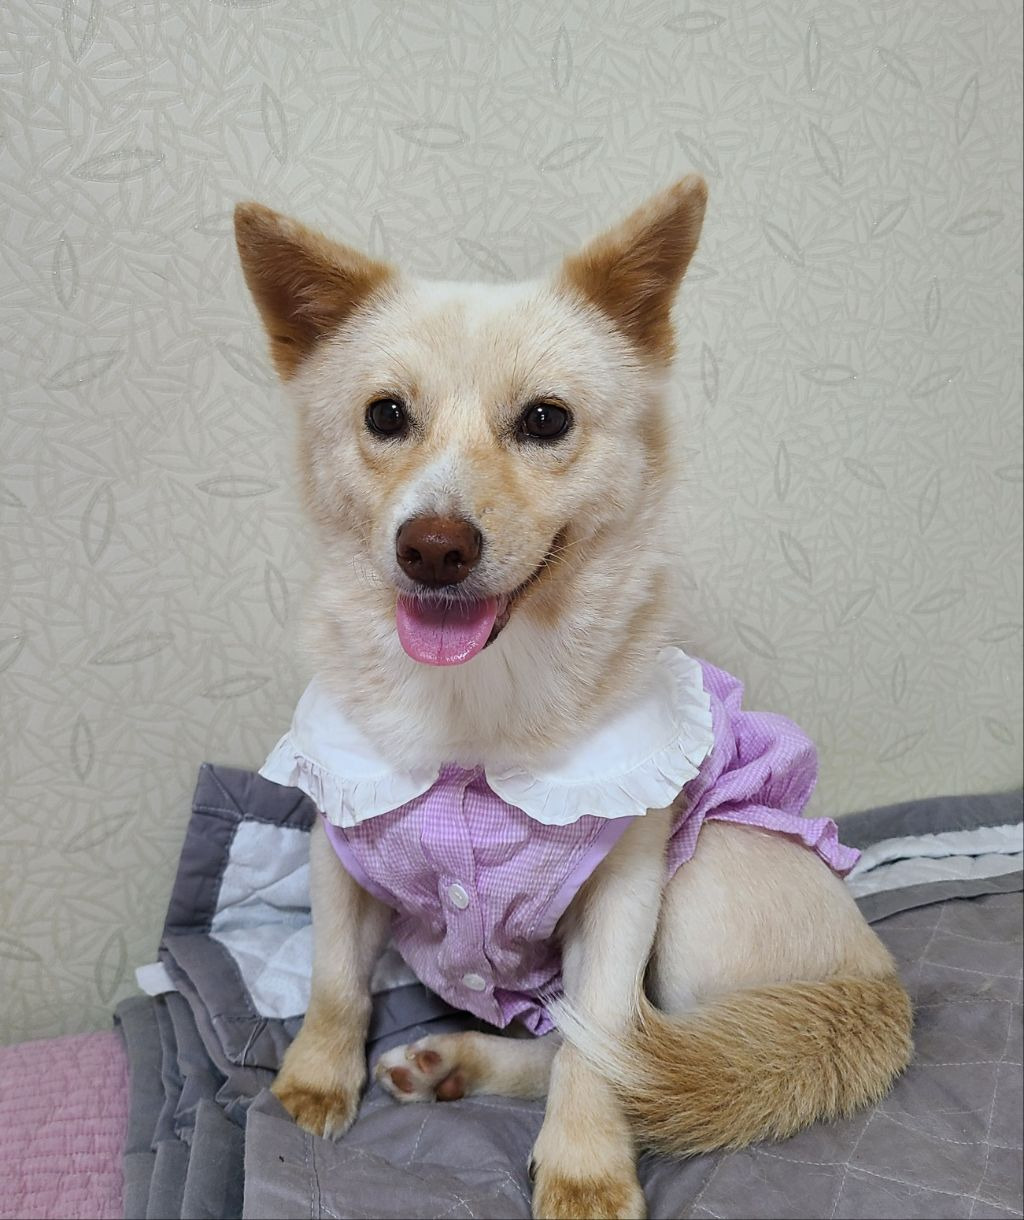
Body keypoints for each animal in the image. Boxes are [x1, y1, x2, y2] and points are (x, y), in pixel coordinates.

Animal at [234, 178, 913, 1220]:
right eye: (385, 415)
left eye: (546, 421)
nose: (433, 547)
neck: (474, 702)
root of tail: (877, 986)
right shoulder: (336, 848)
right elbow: (336, 982)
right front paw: (314, 1079)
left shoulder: (624, 897)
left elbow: (599, 1055)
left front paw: (586, 1168)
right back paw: (452, 1062)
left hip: (703, 880)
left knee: (621, 1047)